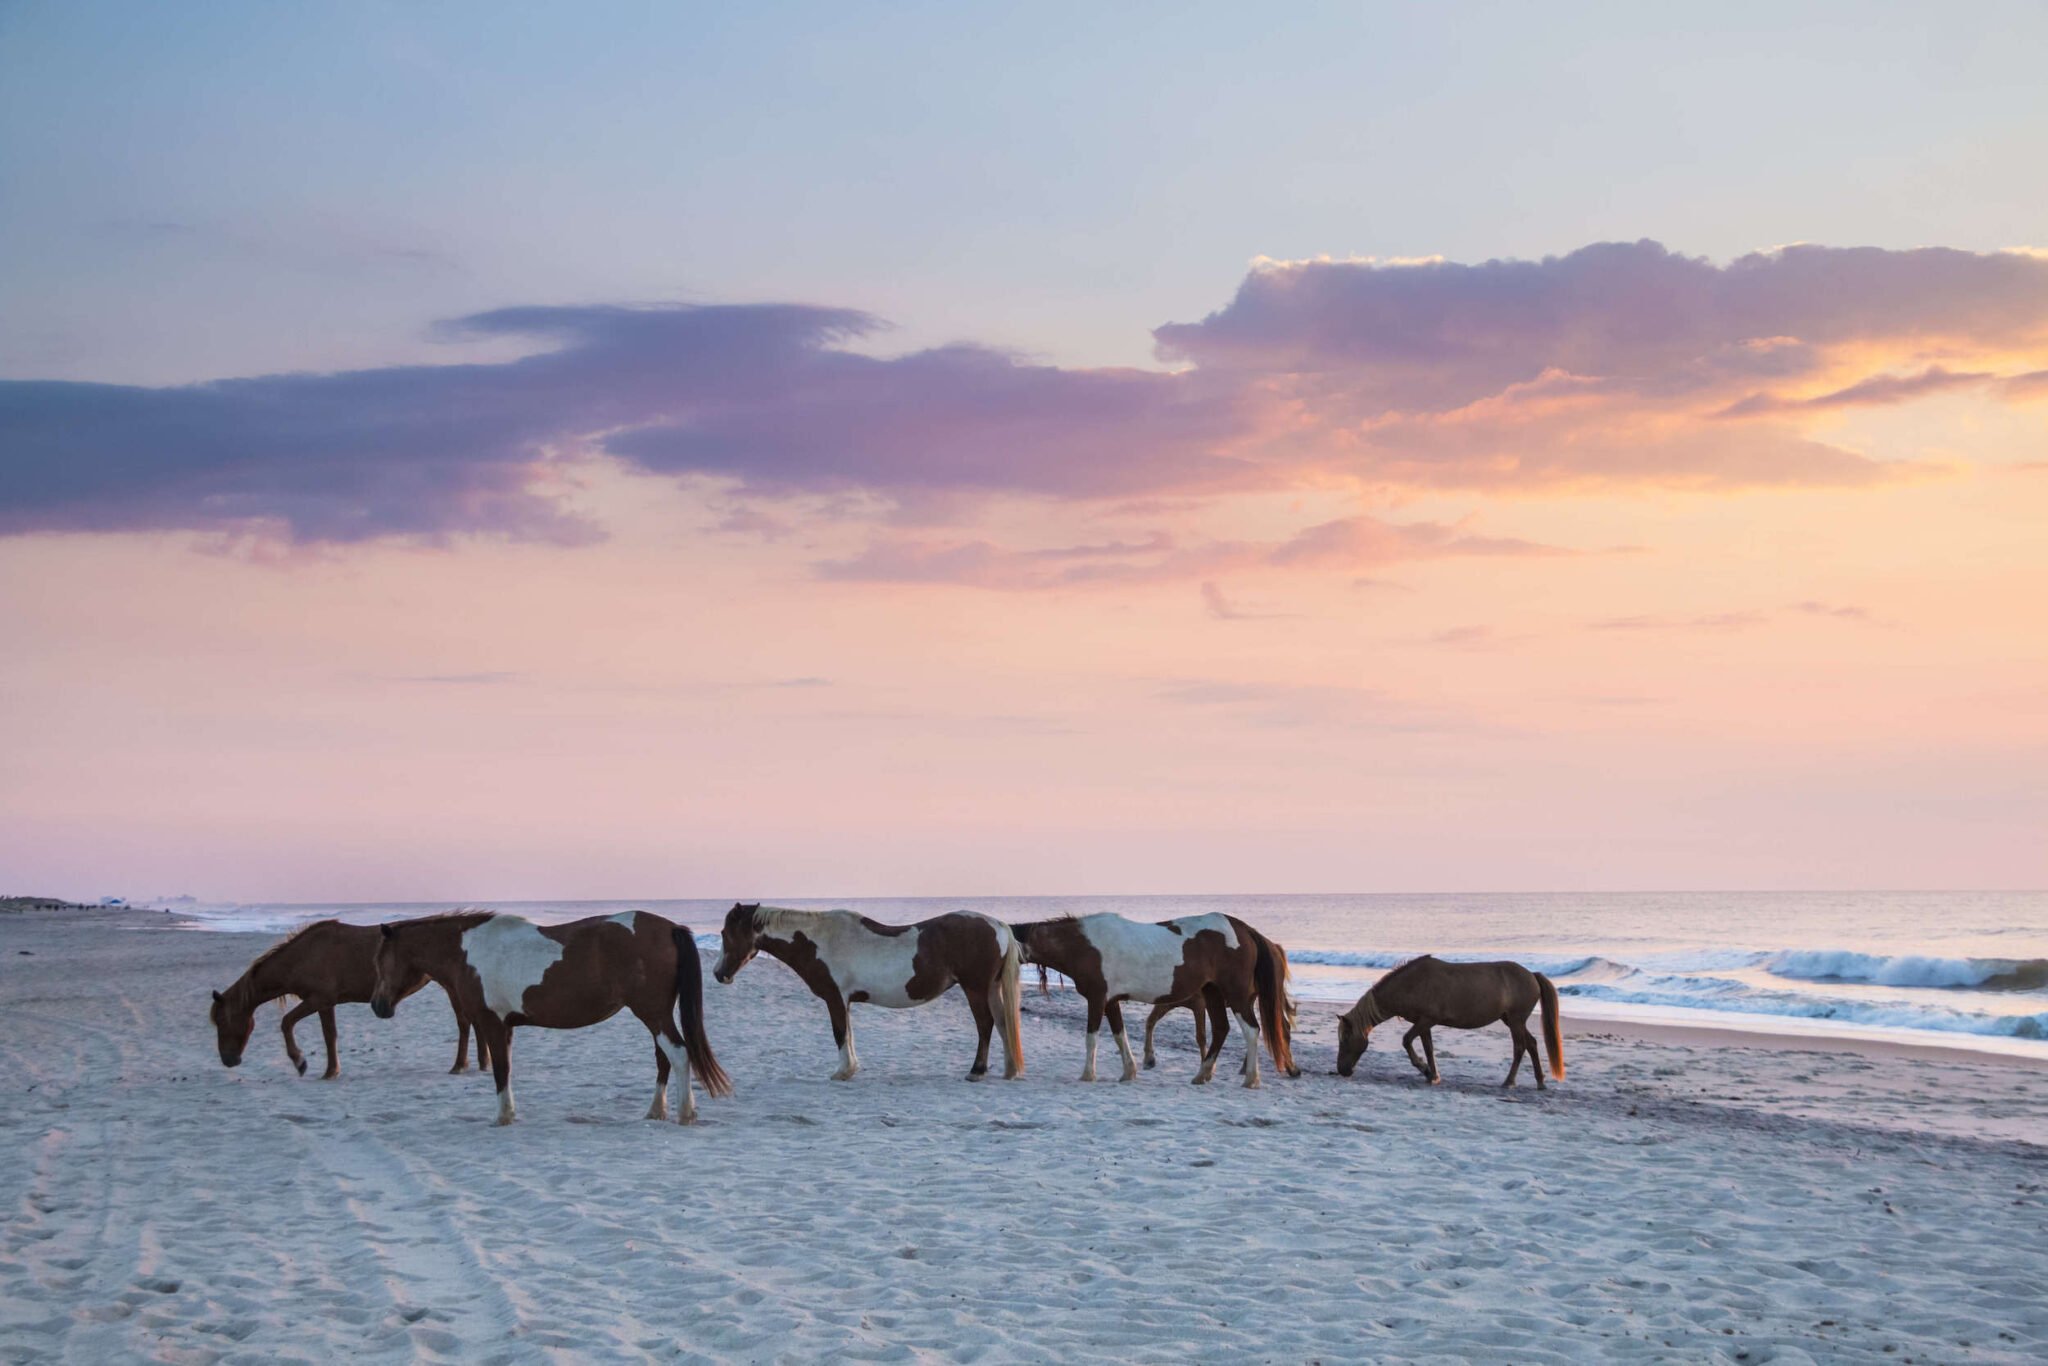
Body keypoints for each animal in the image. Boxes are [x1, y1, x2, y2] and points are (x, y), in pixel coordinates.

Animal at [209, 925, 485, 1081]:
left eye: (222, 1021)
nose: (228, 1060)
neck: (303, 955)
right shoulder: (325, 1003)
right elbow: (328, 1035)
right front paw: (329, 1069)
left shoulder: (319, 1000)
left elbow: (290, 1024)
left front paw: (305, 1064)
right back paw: (481, 1063)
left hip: (451, 985)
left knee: (465, 1022)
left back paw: (460, 1065)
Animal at [372, 913, 733, 1130]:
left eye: (380, 960)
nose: (378, 1005)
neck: (469, 952)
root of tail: (669, 928)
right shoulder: (505, 1027)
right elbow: (506, 1069)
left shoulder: (492, 1023)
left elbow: (500, 1070)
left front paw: (502, 1117)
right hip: (657, 1014)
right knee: (664, 1057)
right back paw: (656, 1111)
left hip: (653, 1012)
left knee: (678, 1054)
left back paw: (685, 1114)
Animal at [712, 901, 1024, 1081]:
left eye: (725, 934)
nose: (718, 974)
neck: (818, 940)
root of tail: (998, 925)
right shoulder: (844, 1000)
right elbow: (848, 1033)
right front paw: (850, 1068)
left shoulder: (835, 997)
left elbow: (839, 1032)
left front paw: (843, 1071)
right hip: (991, 988)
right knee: (1002, 1023)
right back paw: (1008, 1070)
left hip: (975, 987)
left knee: (985, 1024)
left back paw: (977, 1071)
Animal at [1007, 913, 1294, 1097]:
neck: (1083, 945)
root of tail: (1244, 929)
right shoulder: (1110, 1001)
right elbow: (1119, 1035)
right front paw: (1129, 1072)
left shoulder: (1097, 999)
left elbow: (1091, 1038)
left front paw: (1088, 1075)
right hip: (1212, 992)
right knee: (1221, 1030)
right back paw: (1202, 1075)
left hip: (1235, 994)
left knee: (1251, 1030)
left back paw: (1251, 1079)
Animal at [1335, 950, 1556, 1089]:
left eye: (1345, 1039)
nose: (1342, 1070)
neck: (1412, 983)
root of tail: (1532, 975)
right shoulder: (1423, 1023)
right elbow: (1428, 1048)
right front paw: (1432, 1075)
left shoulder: (1426, 1020)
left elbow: (1407, 1041)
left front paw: (1425, 1069)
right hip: (1512, 1021)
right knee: (1531, 1044)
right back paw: (1540, 1082)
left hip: (1516, 1021)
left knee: (1520, 1047)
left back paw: (1509, 1081)